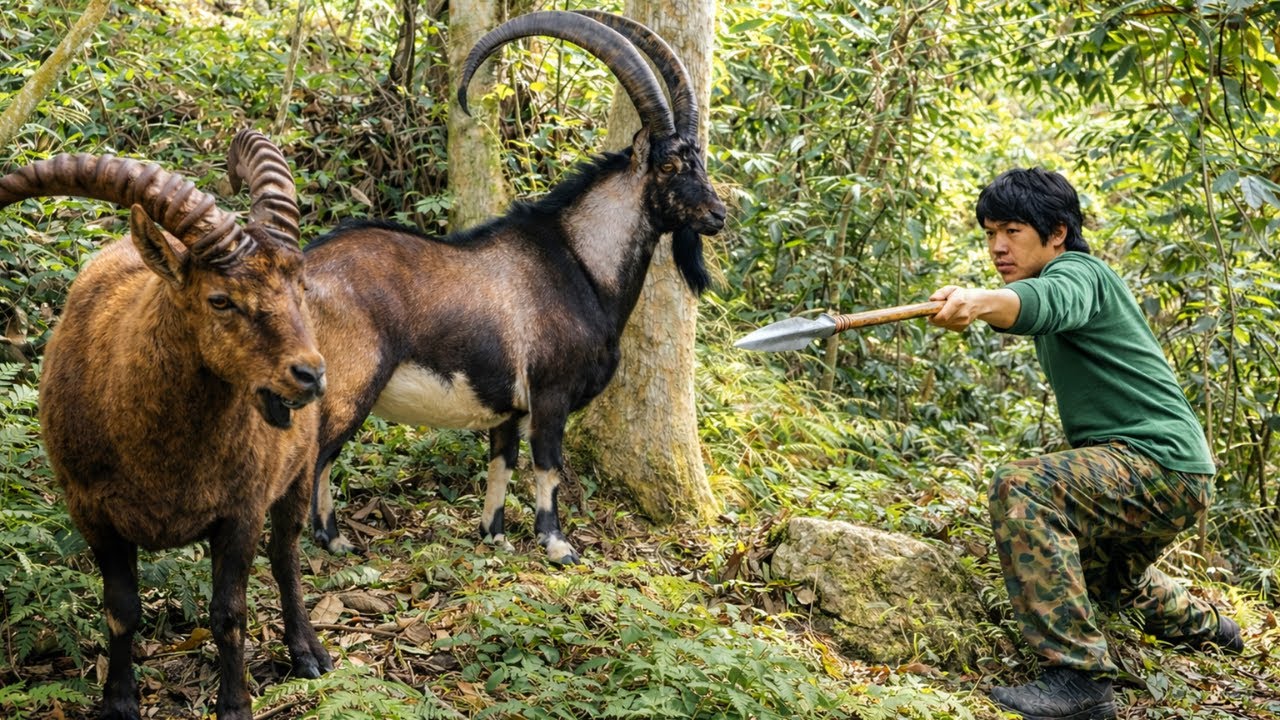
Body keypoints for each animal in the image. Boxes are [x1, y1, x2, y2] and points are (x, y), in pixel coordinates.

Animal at [0, 130, 332, 720]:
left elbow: (228, 613)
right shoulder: (92, 511)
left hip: (299, 469)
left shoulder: (241, 510)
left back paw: (308, 653)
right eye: (220, 299)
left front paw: (235, 705)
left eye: (301, 289)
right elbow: (122, 609)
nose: (310, 376)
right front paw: (119, 702)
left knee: (286, 556)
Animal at [304, 10, 726, 564]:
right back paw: (329, 539)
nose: (717, 215)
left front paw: (495, 535)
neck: (581, 262)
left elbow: (501, 465)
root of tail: (297, 272)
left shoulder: (507, 406)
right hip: (351, 384)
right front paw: (558, 545)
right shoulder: (550, 392)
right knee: (315, 453)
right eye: (671, 164)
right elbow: (548, 465)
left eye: (699, 160)